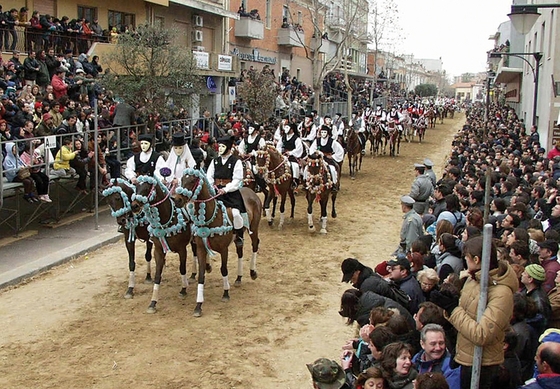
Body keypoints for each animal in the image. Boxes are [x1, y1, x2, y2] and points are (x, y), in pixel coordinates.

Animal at [130, 174, 194, 314]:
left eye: (147, 187)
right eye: (136, 186)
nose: (134, 206)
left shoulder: (182, 249)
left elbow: (182, 268)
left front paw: (183, 289)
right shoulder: (158, 250)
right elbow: (157, 275)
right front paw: (153, 303)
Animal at [172, 167, 262, 316]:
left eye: (193, 180)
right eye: (182, 179)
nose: (177, 199)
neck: (211, 216)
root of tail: (251, 192)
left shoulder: (224, 249)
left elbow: (224, 269)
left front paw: (226, 293)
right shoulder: (201, 249)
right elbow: (201, 274)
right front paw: (198, 305)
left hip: (254, 229)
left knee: (255, 245)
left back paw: (253, 272)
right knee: (240, 250)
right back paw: (238, 278)